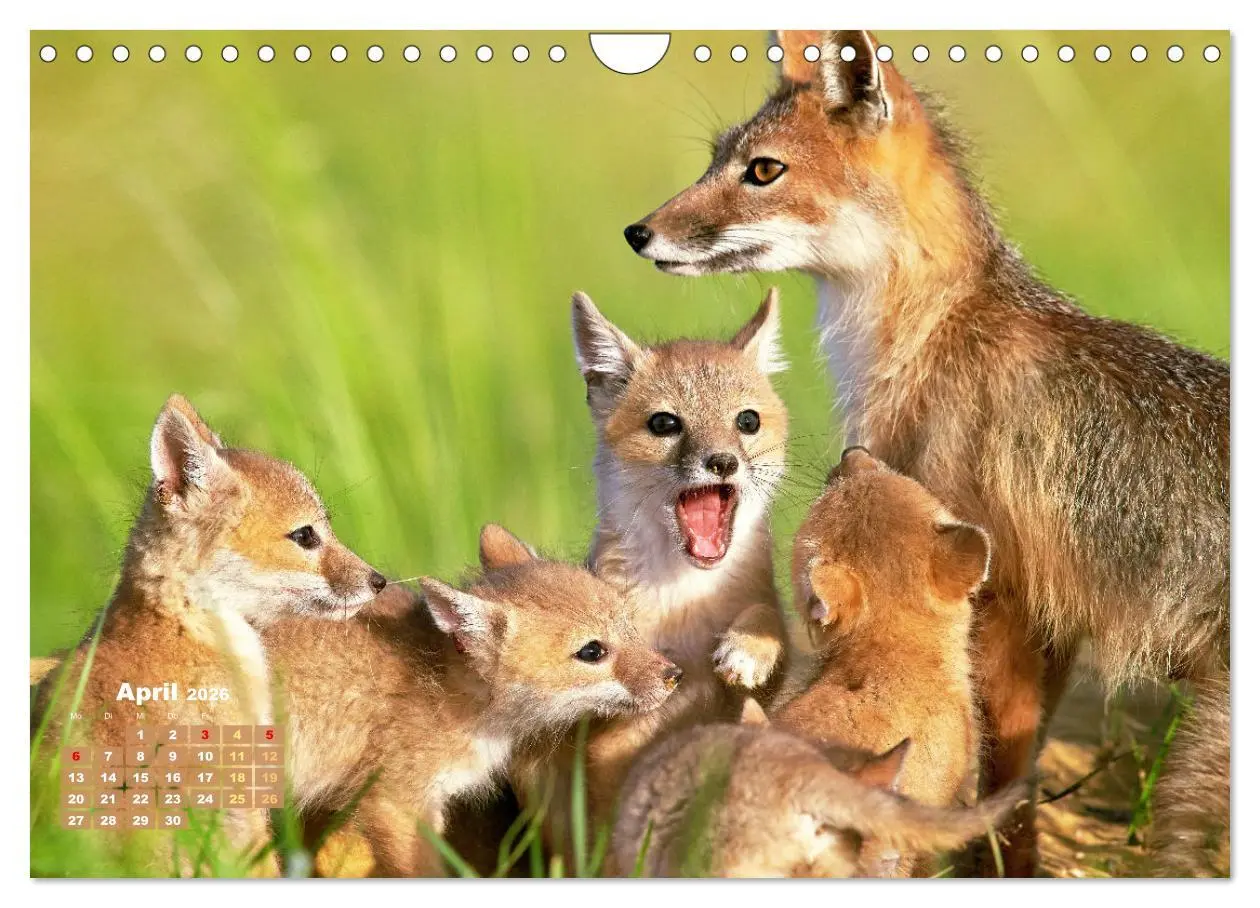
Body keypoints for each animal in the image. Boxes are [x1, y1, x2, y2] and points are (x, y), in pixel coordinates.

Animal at [511, 289, 790, 841]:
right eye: (665, 424)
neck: (687, 602)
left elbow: (769, 621)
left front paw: (746, 649)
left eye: (747, 421)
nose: (723, 461)